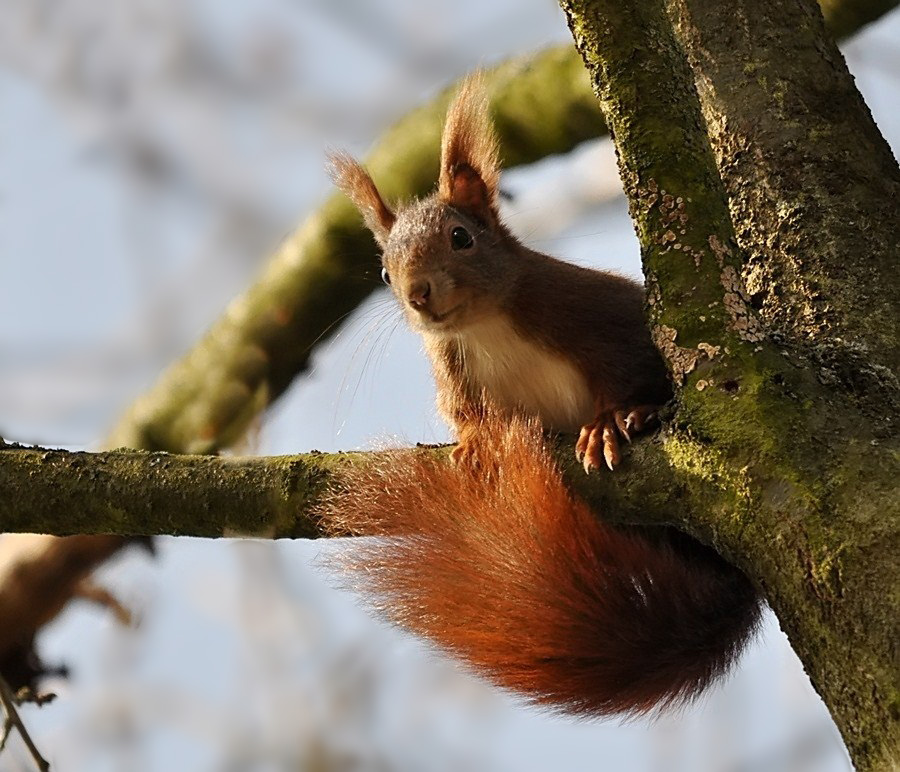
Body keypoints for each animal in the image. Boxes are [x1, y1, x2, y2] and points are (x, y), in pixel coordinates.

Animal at [320, 78, 764, 716]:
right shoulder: (455, 373)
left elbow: (628, 369)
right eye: (383, 271)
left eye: (461, 237)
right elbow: (468, 416)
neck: (485, 328)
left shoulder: (600, 320)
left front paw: (612, 421)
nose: (417, 293)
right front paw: (475, 443)